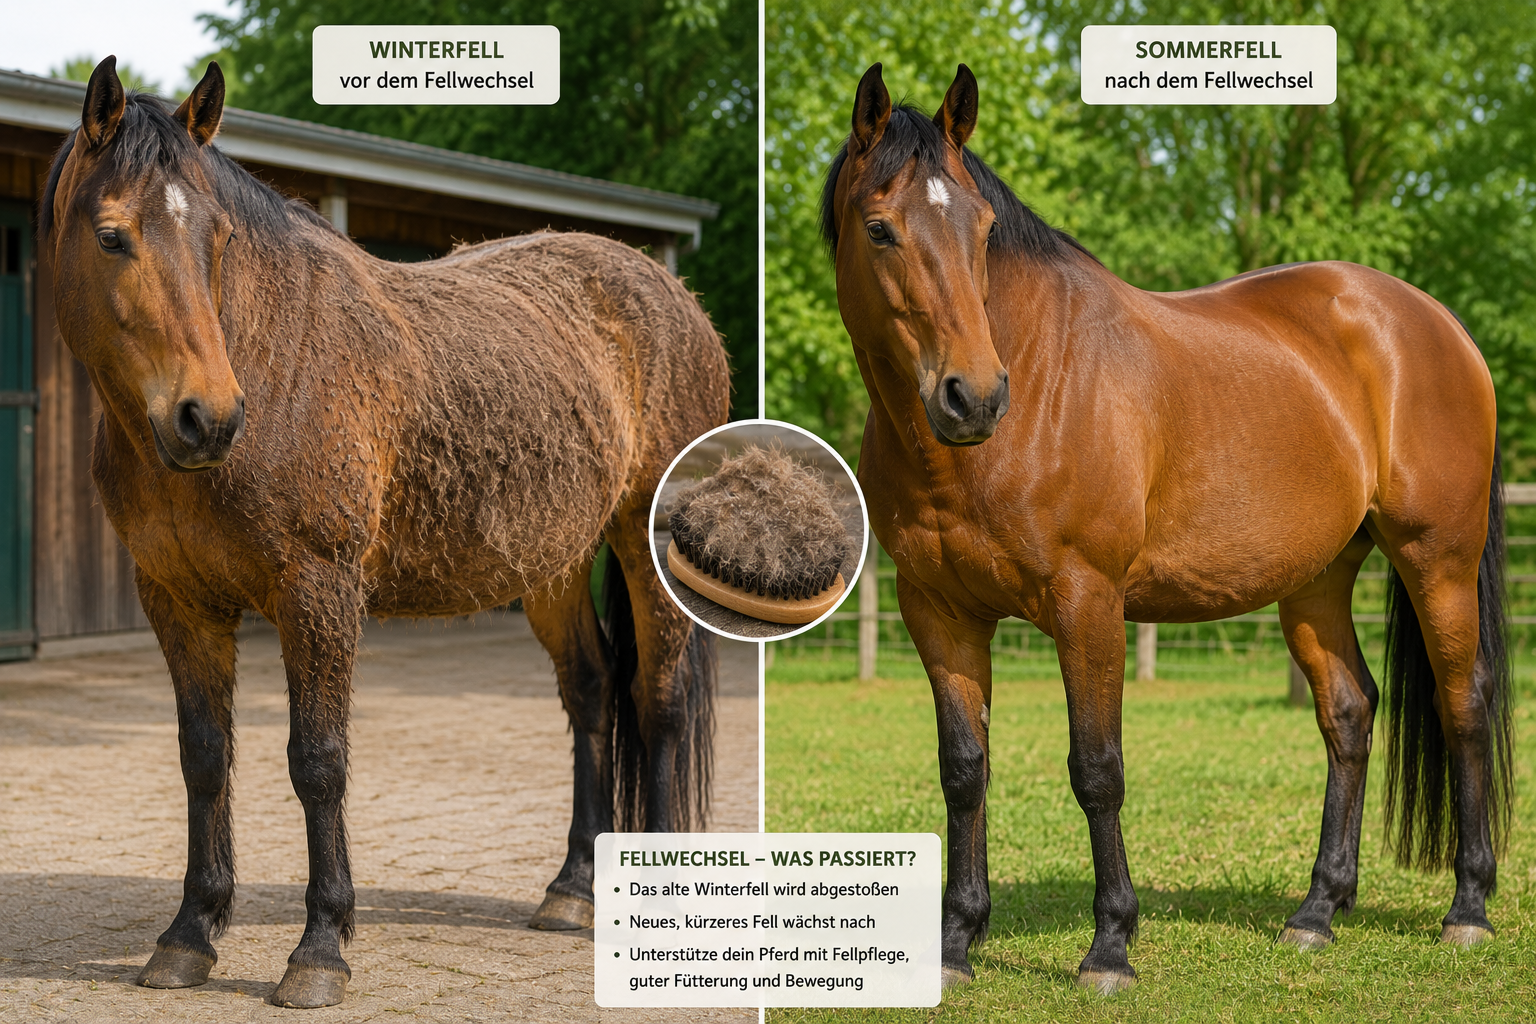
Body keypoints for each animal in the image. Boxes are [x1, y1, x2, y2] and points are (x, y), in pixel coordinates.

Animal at [39, 57, 729, 1008]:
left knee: (656, 702)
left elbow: (318, 761)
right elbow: (205, 757)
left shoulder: (318, 591)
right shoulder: (177, 599)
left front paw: (320, 948)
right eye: (111, 237)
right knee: (591, 694)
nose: (206, 419)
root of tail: (675, 299)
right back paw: (573, 889)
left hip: (640, 544)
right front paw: (189, 935)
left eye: (217, 239)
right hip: (552, 565)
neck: (272, 363)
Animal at [822, 63, 1514, 994]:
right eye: (881, 229)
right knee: (1348, 713)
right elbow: (964, 772)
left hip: (1435, 557)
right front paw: (955, 945)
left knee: (1461, 701)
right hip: (1318, 580)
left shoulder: (1087, 602)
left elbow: (1097, 769)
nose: (974, 396)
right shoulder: (939, 612)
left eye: (984, 228)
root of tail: (1436, 324)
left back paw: (1467, 907)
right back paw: (1316, 912)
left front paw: (1110, 946)